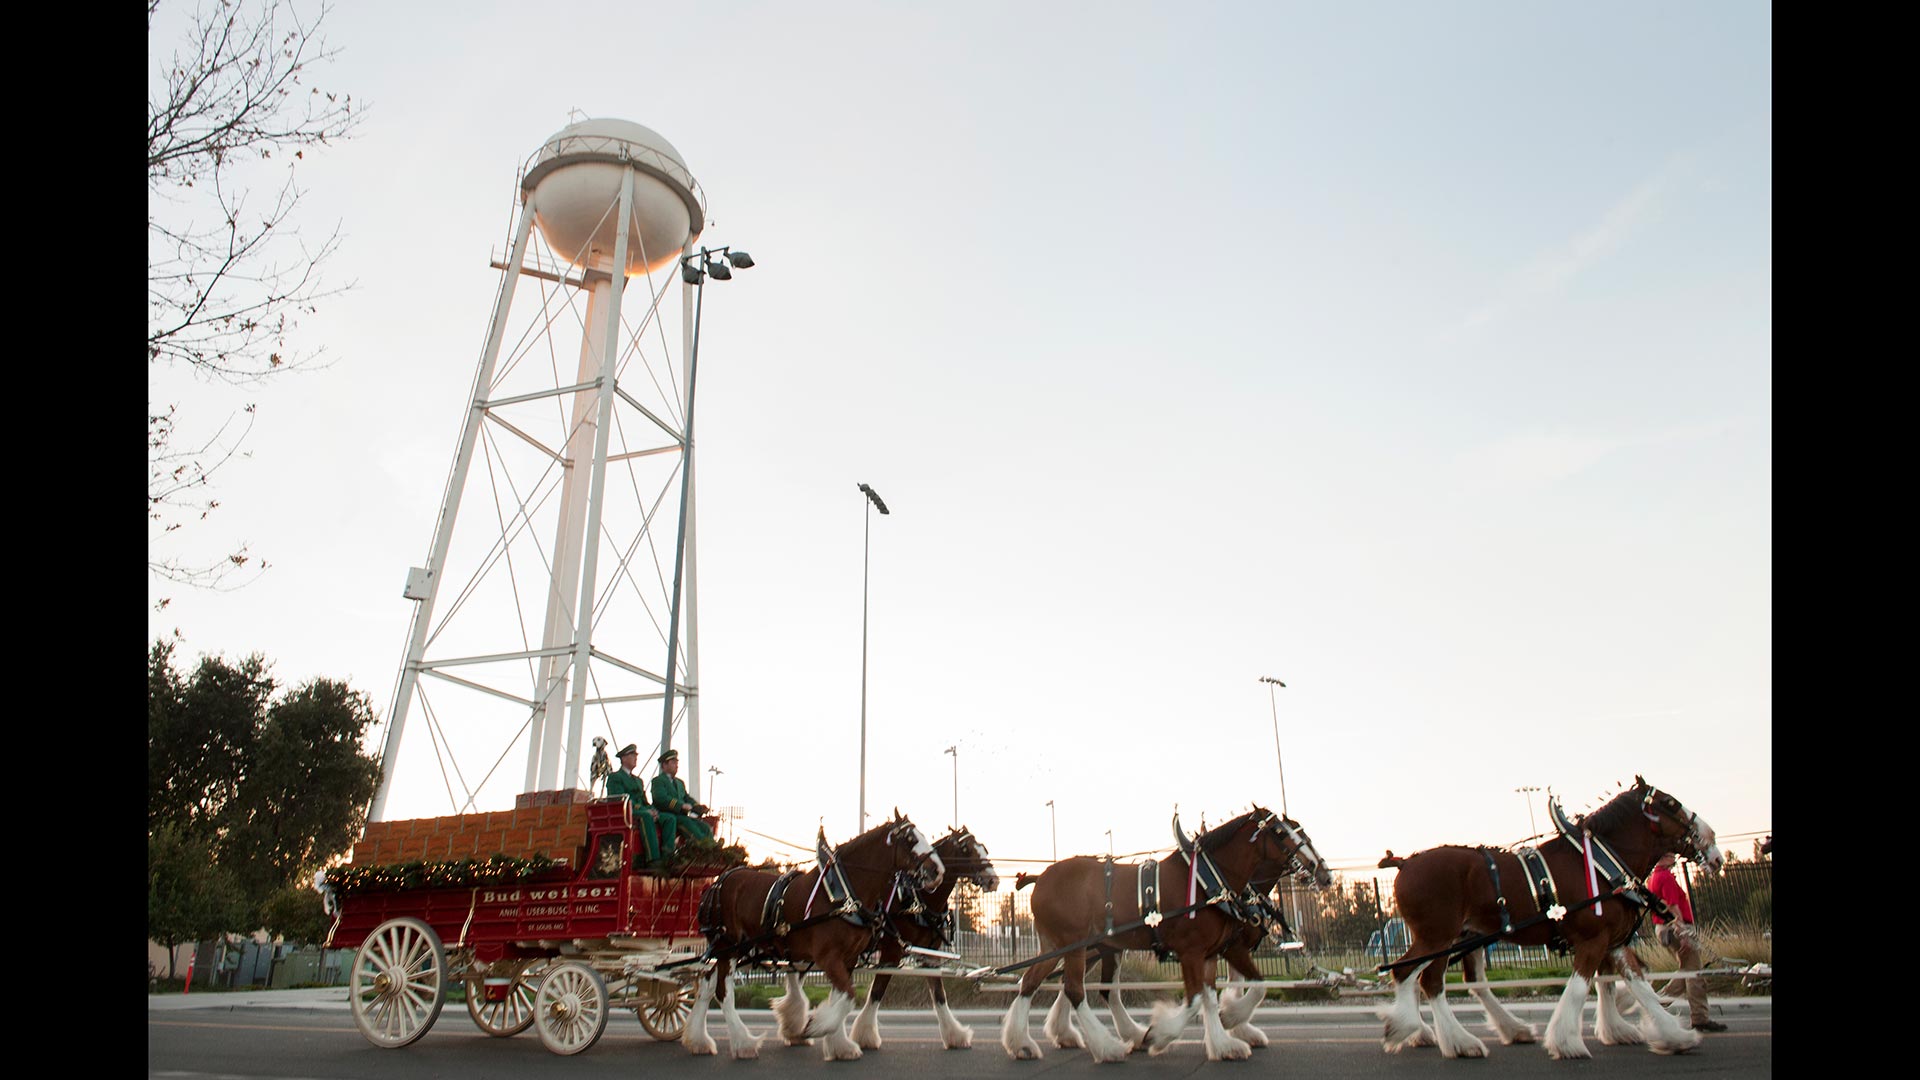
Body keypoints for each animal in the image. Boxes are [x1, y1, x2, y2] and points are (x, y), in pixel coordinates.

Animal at [687, 810, 940, 1053]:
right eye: (910, 839)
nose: (938, 870)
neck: (841, 895)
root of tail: (718, 882)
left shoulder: (848, 958)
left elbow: (842, 998)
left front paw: (838, 1043)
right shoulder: (827, 957)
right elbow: (848, 996)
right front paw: (817, 1027)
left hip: (735, 949)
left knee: (708, 984)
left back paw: (699, 1041)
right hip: (728, 947)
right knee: (723, 991)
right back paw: (743, 1042)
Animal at [852, 822, 1006, 1045]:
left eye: (983, 848)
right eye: (966, 849)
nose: (993, 880)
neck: (919, 900)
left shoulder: (930, 954)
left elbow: (939, 993)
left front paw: (954, 1034)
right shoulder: (892, 951)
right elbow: (878, 990)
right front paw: (864, 1034)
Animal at [998, 803, 1328, 1053]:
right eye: (1279, 832)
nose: (1322, 871)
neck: (1207, 881)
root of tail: (1041, 876)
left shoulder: (1212, 952)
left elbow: (1213, 996)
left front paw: (1224, 1041)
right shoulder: (1196, 951)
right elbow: (1199, 999)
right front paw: (1163, 1033)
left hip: (1063, 945)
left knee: (1034, 982)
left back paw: (1025, 1042)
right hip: (1075, 943)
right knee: (1074, 989)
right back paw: (1108, 1046)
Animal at [1382, 772, 1728, 1060]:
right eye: (1670, 803)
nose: (1713, 846)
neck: (1601, 862)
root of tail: (1405, 863)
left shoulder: (1614, 942)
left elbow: (1635, 985)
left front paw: (1671, 1035)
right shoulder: (1592, 939)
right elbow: (1579, 988)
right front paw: (1567, 1042)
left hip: (1462, 936)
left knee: (1451, 980)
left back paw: (1492, 1031)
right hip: (1437, 936)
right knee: (1415, 975)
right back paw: (1434, 1034)